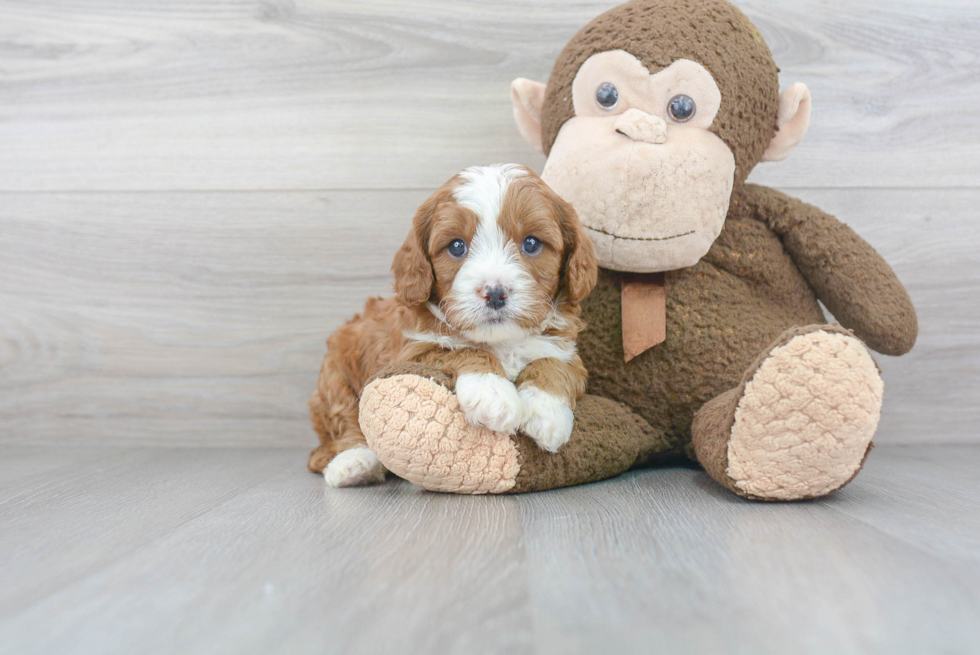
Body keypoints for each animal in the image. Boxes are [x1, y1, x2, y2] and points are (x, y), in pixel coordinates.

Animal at [308, 163, 596, 486]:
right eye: (457, 247)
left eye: (531, 243)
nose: (495, 293)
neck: (502, 340)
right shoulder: (411, 350)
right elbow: (459, 349)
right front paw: (492, 393)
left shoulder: (567, 350)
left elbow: (553, 363)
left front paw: (545, 411)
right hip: (334, 376)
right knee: (344, 424)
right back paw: (355, 463)